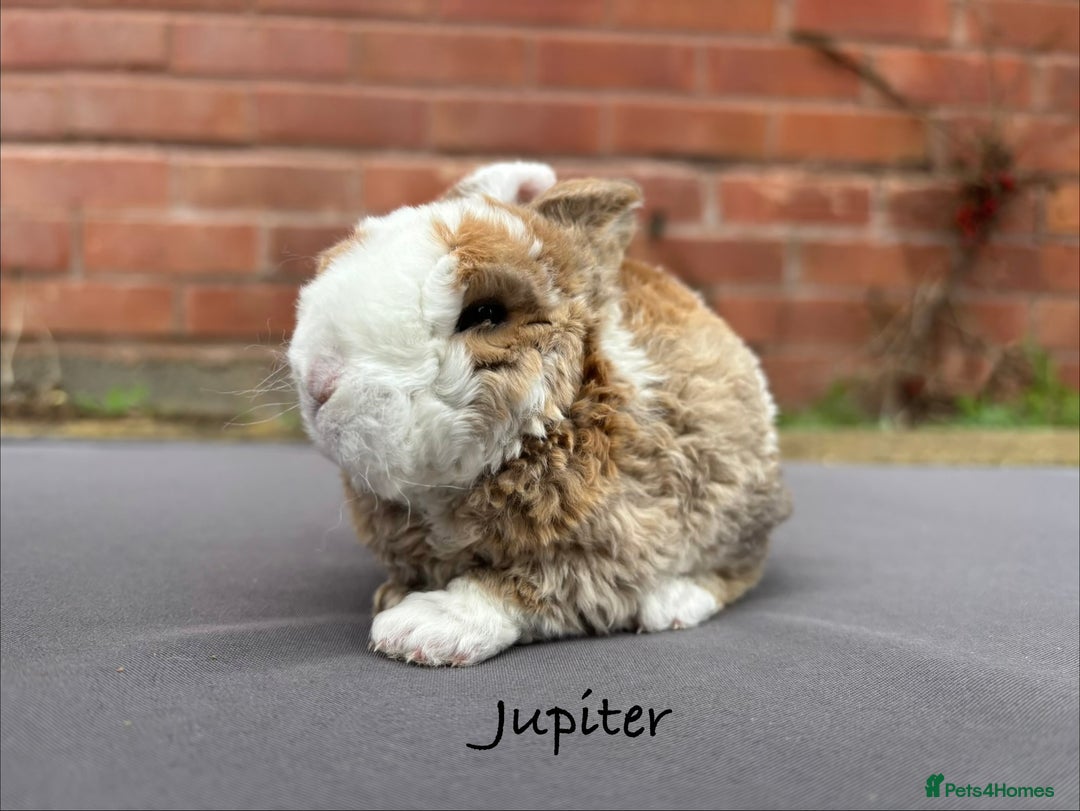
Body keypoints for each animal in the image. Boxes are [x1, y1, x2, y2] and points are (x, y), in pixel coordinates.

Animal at [288, 161, 792, 667]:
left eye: (484, 313)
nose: (318, 382)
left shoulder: (600, 555)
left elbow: (522, 589)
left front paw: (417, 630)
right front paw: (392, 596)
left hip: (732, 509)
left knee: (734, 572)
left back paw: (672, 606)